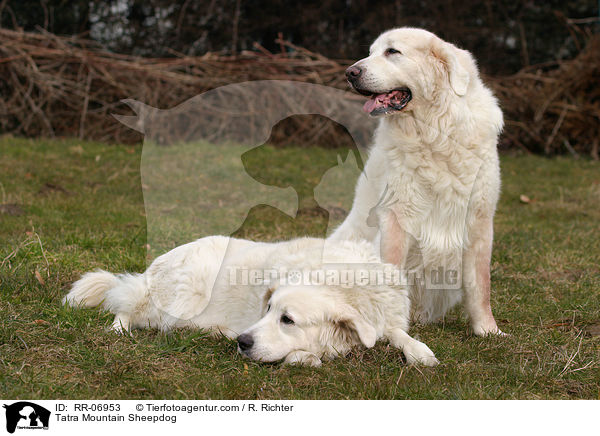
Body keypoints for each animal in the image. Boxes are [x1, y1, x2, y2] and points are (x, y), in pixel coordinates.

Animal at [64, 237, 436, 366]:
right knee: (126, 306)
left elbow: (398, 333)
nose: (243, 341)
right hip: (174, 300)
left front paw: (420, 352)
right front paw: (305, 357)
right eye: (268, 310)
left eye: (287, 319)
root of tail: (156, 263)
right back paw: (119, 331)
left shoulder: (387, 315)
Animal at [332, 27, 506, 336]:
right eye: (371, 52)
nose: (349, 73)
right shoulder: (396, 219)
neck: (435, 131)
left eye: (392, 52)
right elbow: (391, 274)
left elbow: (480, 286)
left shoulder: (479, 220)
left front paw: (488, 331)